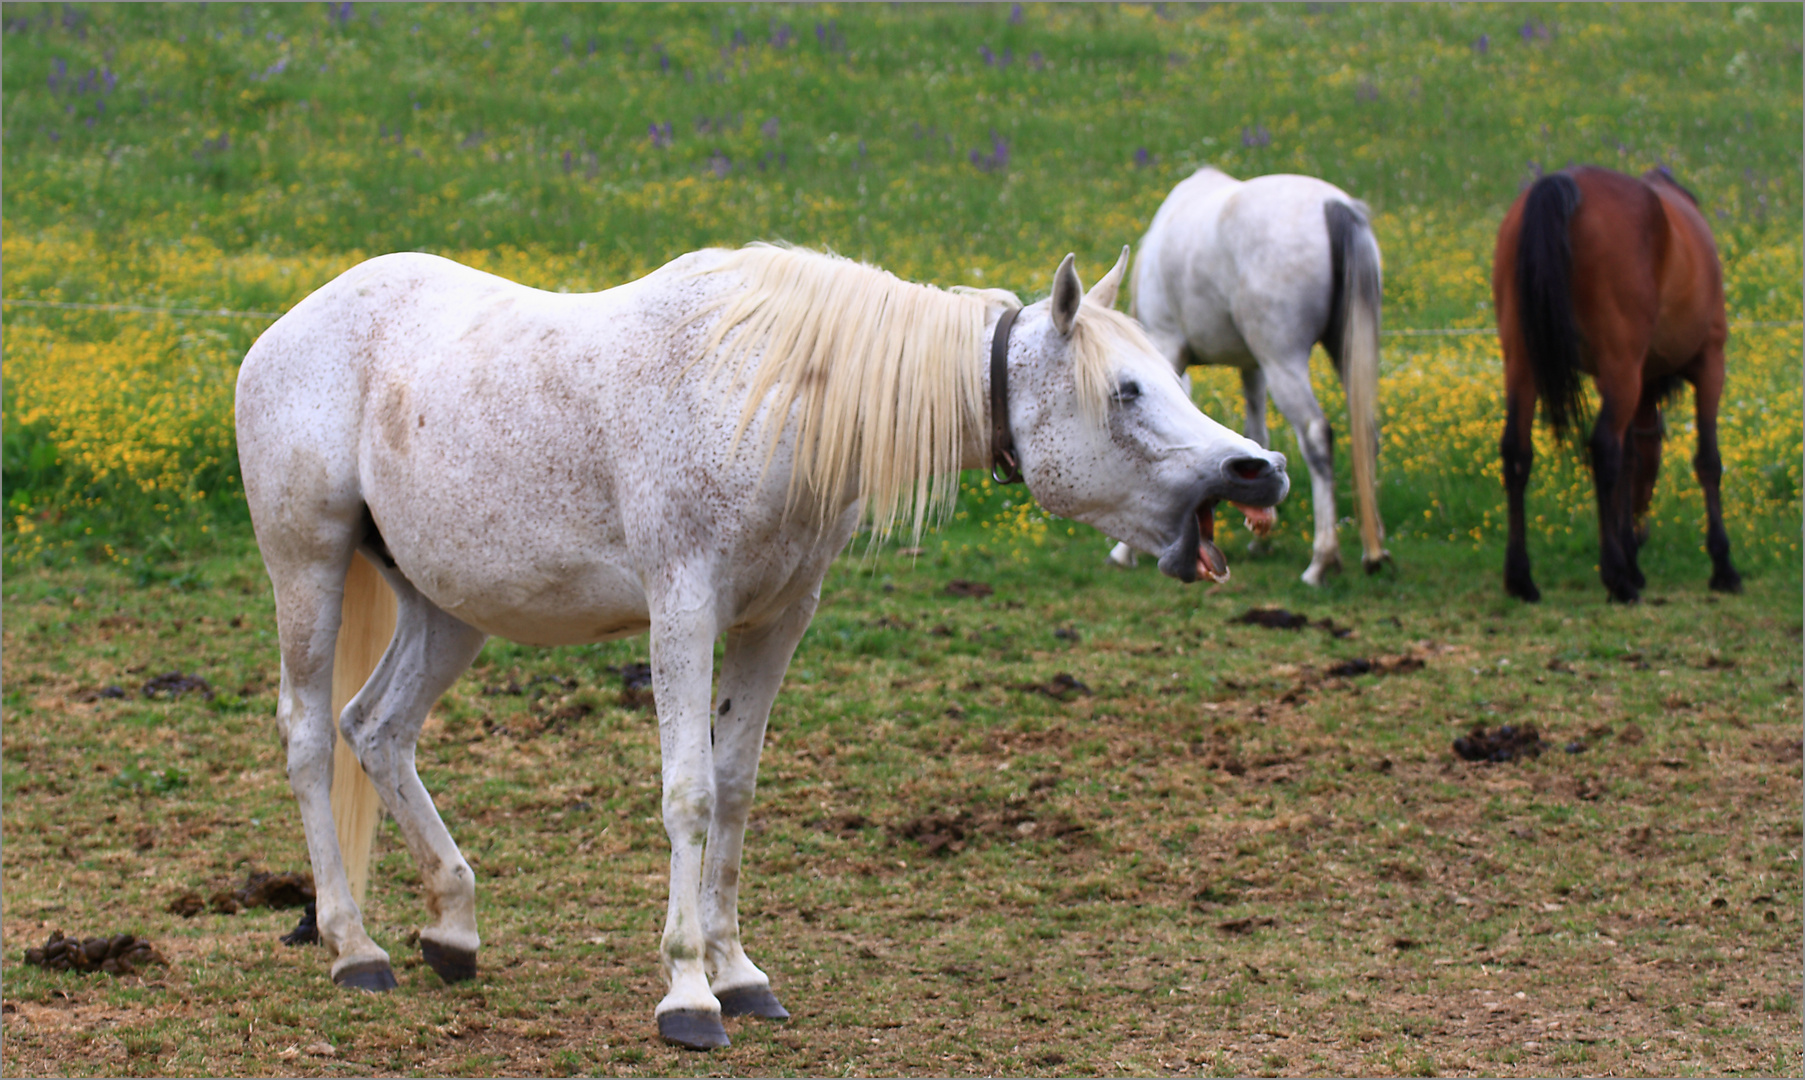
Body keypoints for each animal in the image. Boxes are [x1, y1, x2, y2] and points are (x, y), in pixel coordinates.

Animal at [236, 243, 1285, 1047]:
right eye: (1125, 391)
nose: (1259, 470)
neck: (776, 398)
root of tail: (286, 330)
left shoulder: (776, 621)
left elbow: (735, 790)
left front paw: (739, 975)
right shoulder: (683, 610)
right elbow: (689, 794)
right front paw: (688, 995)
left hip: (448, 608)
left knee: (377, 730)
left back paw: (452, 930)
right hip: (308, 567)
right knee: (309, 734)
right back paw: (354, 947)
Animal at [1111, 166, 1393, 588]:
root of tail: (1333, 205)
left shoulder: (1170, 347)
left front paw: (1125, 550)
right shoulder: (1252, 366)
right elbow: (1257, 442)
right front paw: (1262, 536)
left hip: (1283, 361)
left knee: (1317, 435)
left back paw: (1322, 561)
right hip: (1339, 351)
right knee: (1367, 432)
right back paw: (1374, 551)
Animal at [1494, 166, 1732, 606]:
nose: (1642, 532)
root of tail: (1562, 185)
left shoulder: (1622, 380)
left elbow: (1628, 461)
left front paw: (1631, 558)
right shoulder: (1710, 364)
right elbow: (1707, 461)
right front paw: (1723, 566)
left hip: (1523, 364)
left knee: (1517, 452)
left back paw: (1521, 578)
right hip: (1623, 368)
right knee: (1603, 446)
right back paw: (1616, 579)